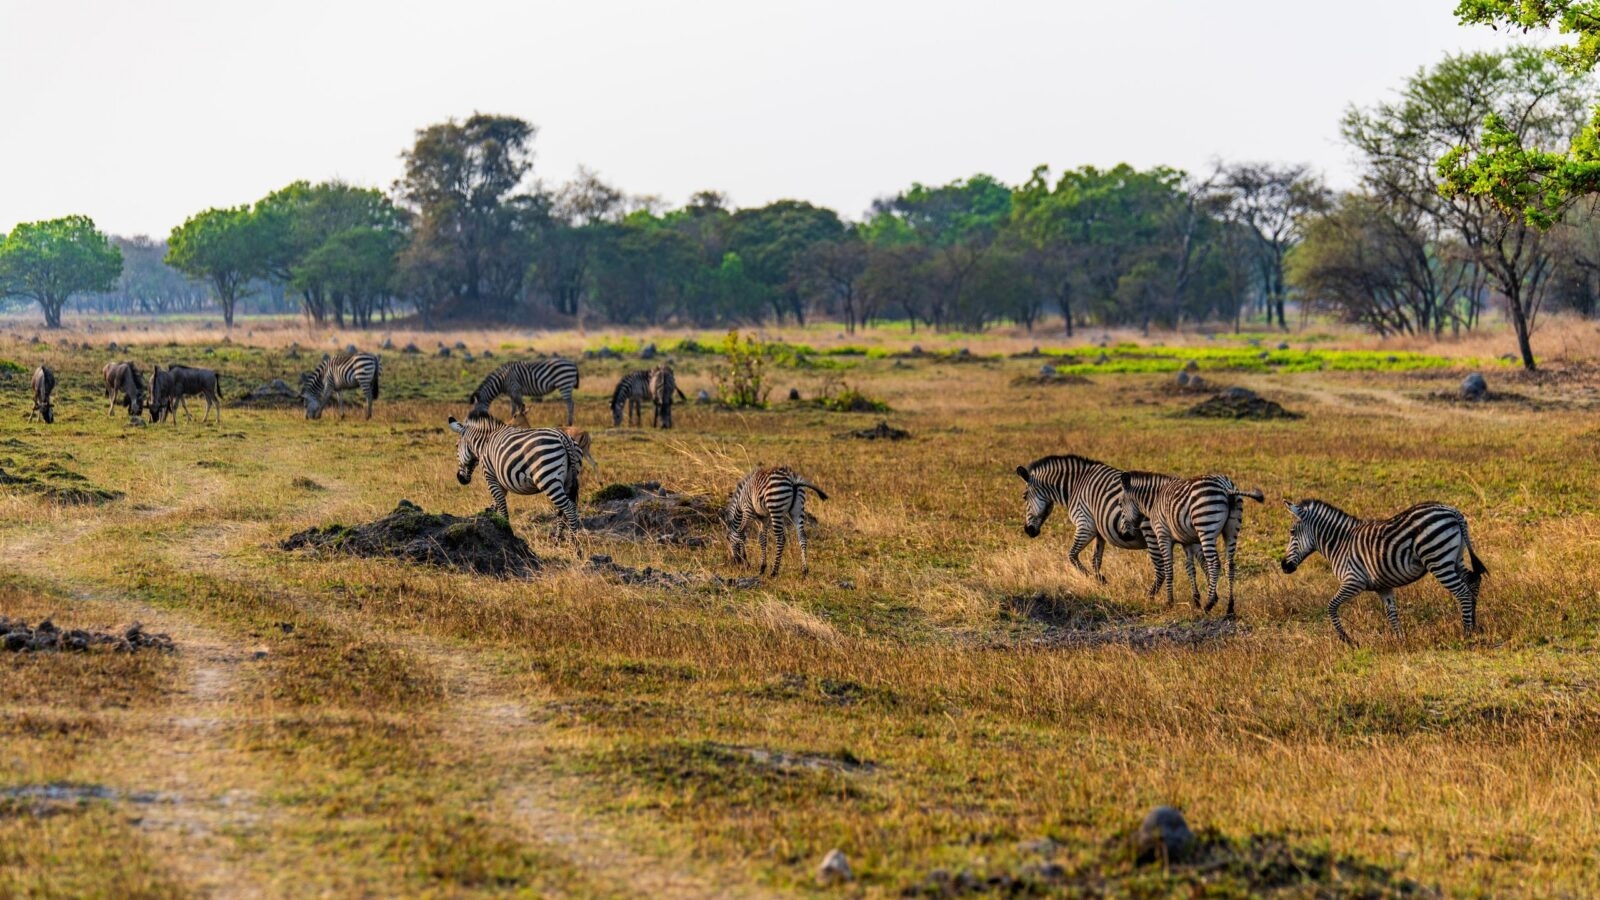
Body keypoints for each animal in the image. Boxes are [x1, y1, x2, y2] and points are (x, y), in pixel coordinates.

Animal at [447, 413, 596, 543]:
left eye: (456, 446)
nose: (460, 479)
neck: (485, 444)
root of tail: (563, 437)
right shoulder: (500, 481)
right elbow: (495, 504)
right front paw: (493, 520)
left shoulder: (490, 476)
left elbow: (501, 505)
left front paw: (506, 530)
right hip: (569, 479)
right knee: (565, 510)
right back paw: (557, 540)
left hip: (548, 478)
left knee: (569, 509)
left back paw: (574, 544)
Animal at [1015, 455, 1172, 590]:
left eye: (1024, 497)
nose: (1028, 530)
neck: (1075, 486)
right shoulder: (1099, 531)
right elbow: (1096, 560)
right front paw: (1101, 580)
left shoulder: (1085, 525)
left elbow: (1072, 555)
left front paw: (1095, 579)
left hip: (1151, 533)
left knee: (1161, 569)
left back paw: (1149, 596)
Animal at [1119, 471, 1264, 616]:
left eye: (1120, 504)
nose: (1124, 535)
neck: (1154, 501)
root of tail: (1226, 487)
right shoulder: (1188, 541)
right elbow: (1190, 567)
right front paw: (1196, 599)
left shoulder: (1163, 535)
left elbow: (1168, 567)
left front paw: (1169, 602)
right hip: (1231, 530)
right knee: (1230, 565)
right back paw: (1229, 607)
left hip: (1206, 526)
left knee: (1214, 563)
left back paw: (1209, 604)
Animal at [1280, 499, 1487, 645]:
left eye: (1292, 532)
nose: (1284, 565)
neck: (1340, 543)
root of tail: (1452, 511)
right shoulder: (1383, 586)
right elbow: (1391, 614)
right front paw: (1400, 642)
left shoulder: (1353, 581)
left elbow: (1331, 606)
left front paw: (1348, 640)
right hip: (1454, 559)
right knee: (1473, 581)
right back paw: (1475, 626)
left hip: (1438, 560)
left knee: (1462, 592)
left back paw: (1466, 633)